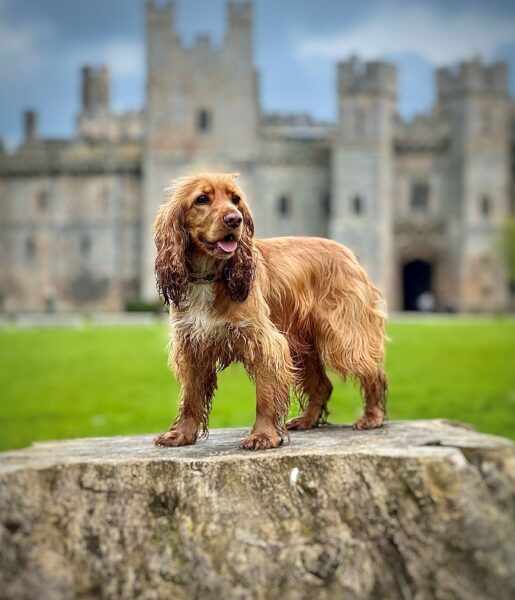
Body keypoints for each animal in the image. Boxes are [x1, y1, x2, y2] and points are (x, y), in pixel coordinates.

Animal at [153, 171, 388, 448]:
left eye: (235, 199)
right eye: (201, 199)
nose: (235, 219)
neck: (208, 276)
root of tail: (348, 253)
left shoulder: (263, 342)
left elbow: (265, 396)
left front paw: (263, 436)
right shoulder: (191, 344)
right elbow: (190, 396)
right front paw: (181, 434)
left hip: (344, 335)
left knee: (374, 373)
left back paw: (372, 417)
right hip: (302, 345)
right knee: (323, 385)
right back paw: (306, 420)